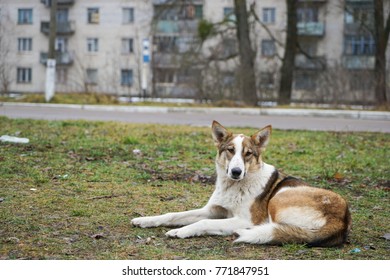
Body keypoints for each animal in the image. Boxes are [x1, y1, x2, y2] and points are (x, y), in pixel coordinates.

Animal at [133, 121, 352, 247]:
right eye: (230, 150)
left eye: (248, 154)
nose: (236, 172)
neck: (234, 186)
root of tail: (342, 220)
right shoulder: (212, 210)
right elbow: (173, 215)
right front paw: (145, 220)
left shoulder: (244, 219)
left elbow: (202, 223)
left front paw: (180, 231)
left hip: (279, 198)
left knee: (274, 228)